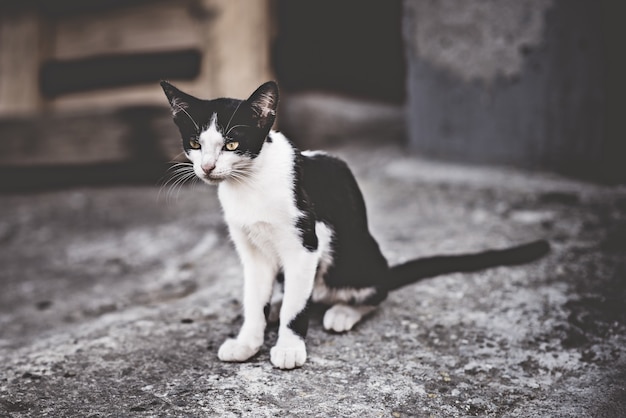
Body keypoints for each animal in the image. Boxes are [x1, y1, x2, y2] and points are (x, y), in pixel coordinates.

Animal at [160, 79, 544, 370]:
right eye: (195, 144)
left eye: (232, 143)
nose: (207, 168)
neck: (249, 184)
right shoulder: (251, 251)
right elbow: (254, 298)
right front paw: (247, 341)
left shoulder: (307, 244)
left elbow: (297, 307)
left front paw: (289, 347)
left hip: (357, 257)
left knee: (374, 292)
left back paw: (342, 312)